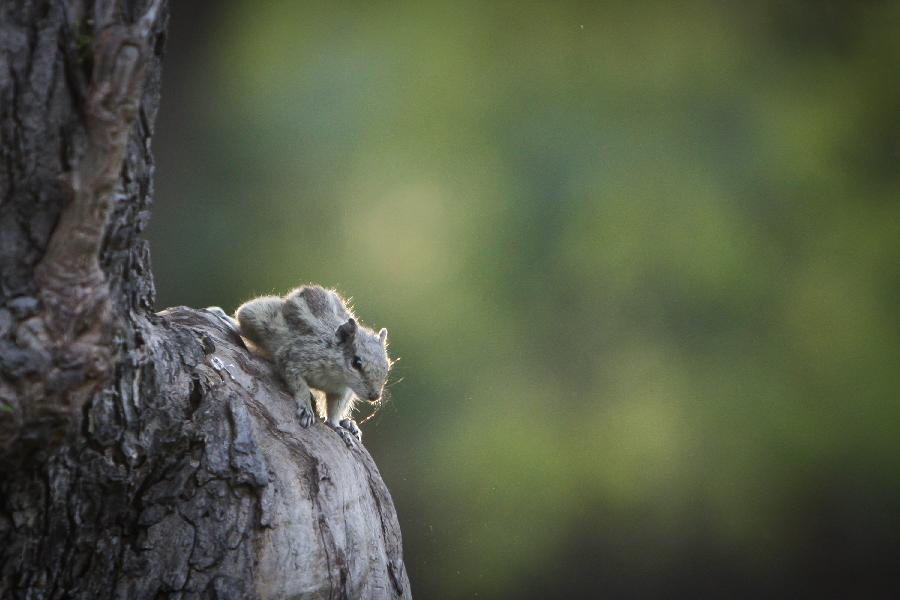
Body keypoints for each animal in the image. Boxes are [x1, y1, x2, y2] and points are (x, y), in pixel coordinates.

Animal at [207, 284, 390, 446]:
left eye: (386, 367)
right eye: (356, 363)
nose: (375, 396)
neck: (336, 375)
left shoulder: (341, 392)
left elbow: (334, 411)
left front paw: (338, 427)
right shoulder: (294, 358)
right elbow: (299, 385)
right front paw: (306, 408)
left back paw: (349, 424)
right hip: (255, 316)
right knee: (242, 325)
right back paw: (223, 317)